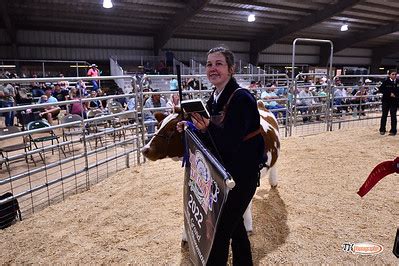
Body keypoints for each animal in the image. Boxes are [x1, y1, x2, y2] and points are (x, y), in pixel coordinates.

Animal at [143, 102, 282, 233]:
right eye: (159, 125)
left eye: (172, 129)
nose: (145, 150)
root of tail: (261, 105)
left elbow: (246, 205)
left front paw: (248, 226)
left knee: (275, 166)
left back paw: (273, 182)